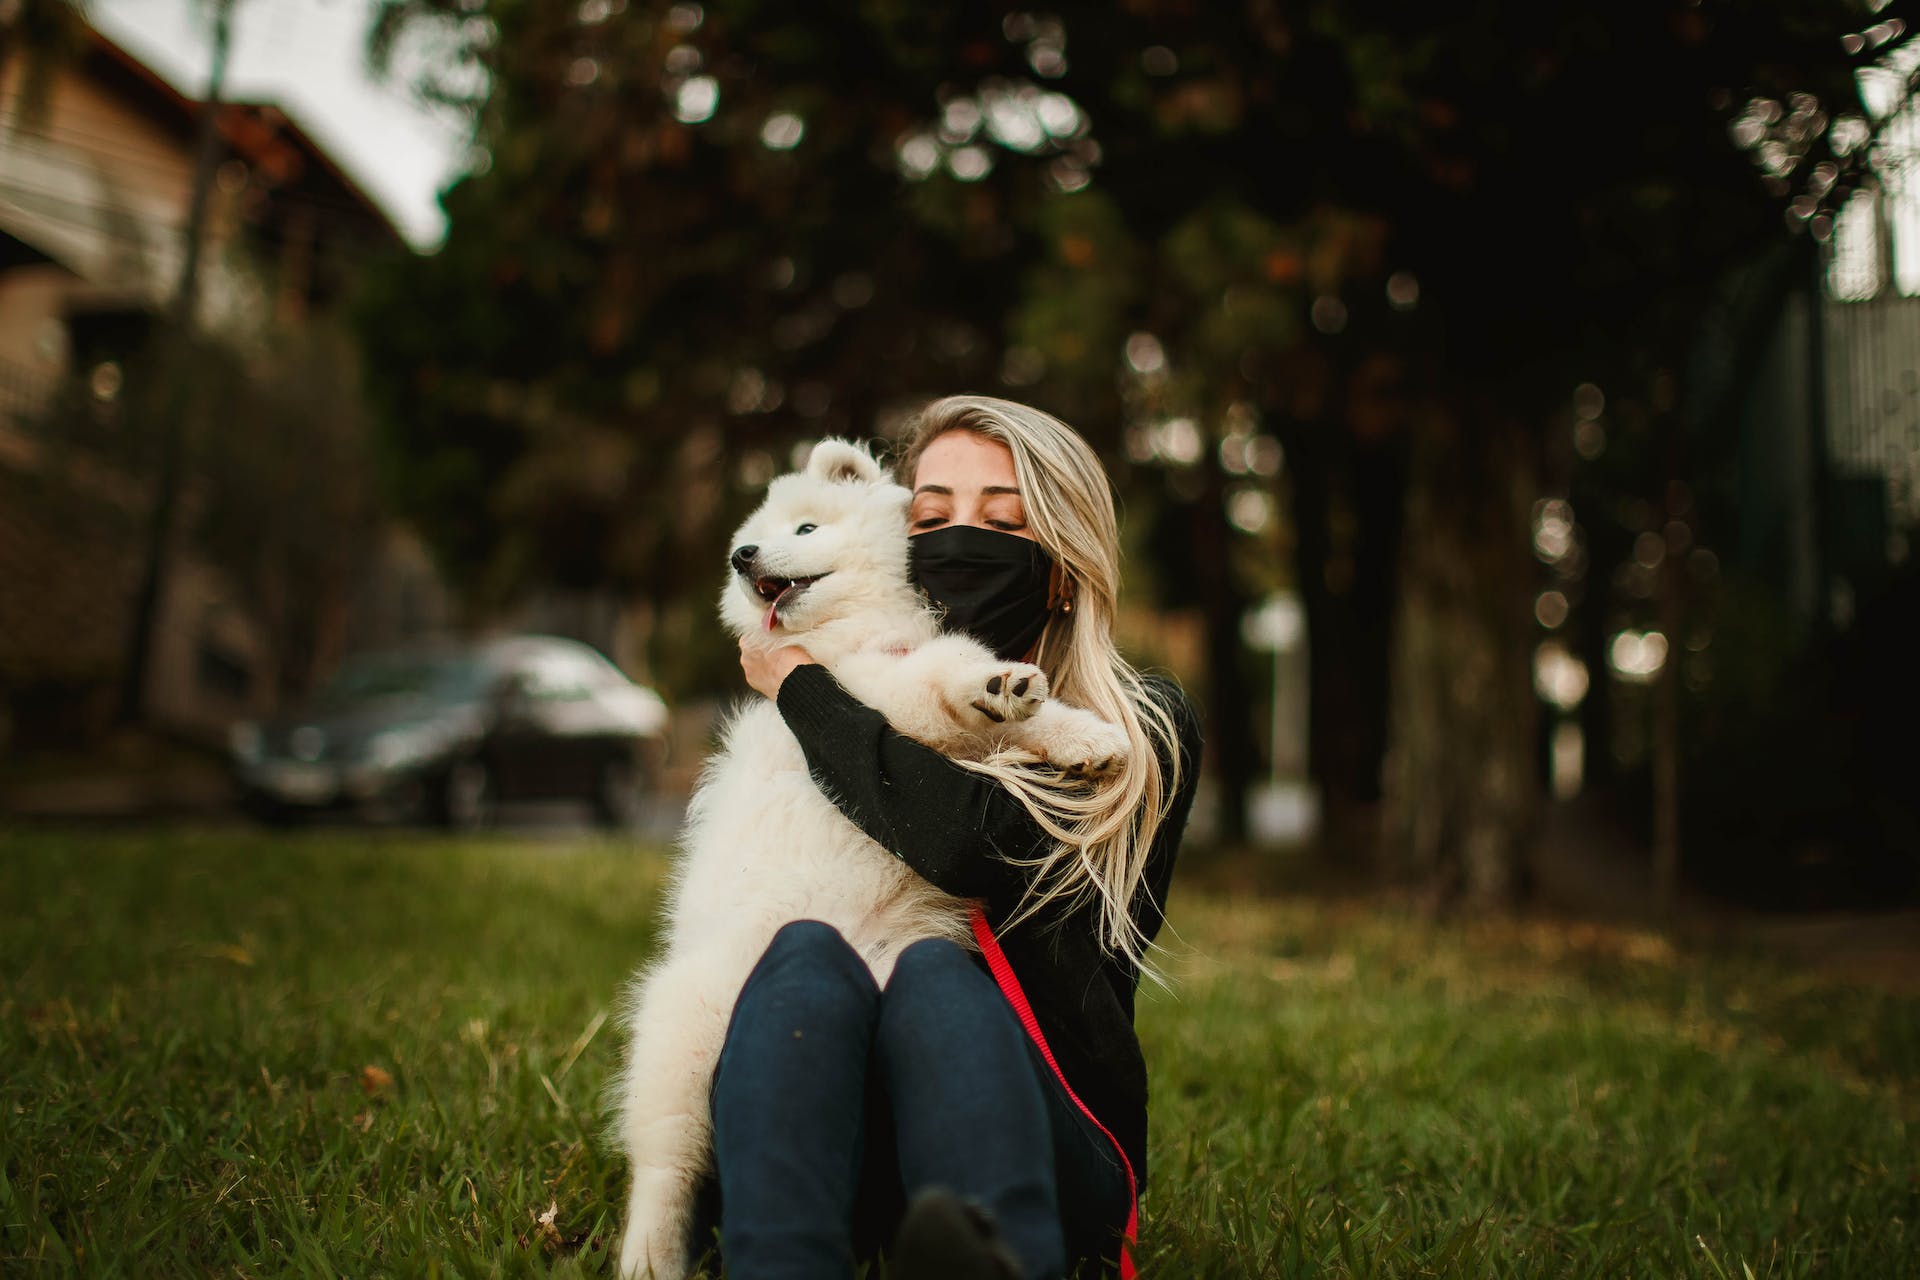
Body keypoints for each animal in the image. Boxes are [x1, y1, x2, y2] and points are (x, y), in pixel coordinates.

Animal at [614, 441, 1121, 1280]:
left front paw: (1086, 736)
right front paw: (991, 682)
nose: (742, 555)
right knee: (664, 1170)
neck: (851, 633)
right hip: (684, 1054)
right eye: (753, 539)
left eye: (805, 528)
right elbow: (939, 678)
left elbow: (1025, 719)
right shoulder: (876, 689)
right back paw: (648, 1259)